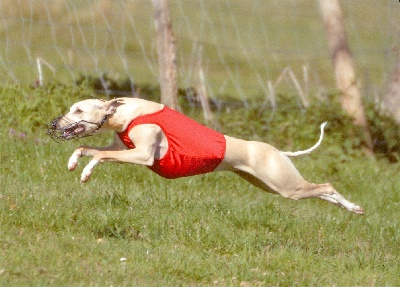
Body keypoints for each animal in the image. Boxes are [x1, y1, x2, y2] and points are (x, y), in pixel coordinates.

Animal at [48, 98, 364, 215]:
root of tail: (275, 150)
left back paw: (353, 206)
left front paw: (86, 172)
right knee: (321, 191)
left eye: (78, 110)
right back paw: (352, 208)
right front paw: (74, 161)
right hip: (271, 185)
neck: (128, 112)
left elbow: (99, 156)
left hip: (284, 184)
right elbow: (88, 149)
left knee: (326, 186)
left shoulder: (143, 155)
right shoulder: (124, 149)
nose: (55, 123)